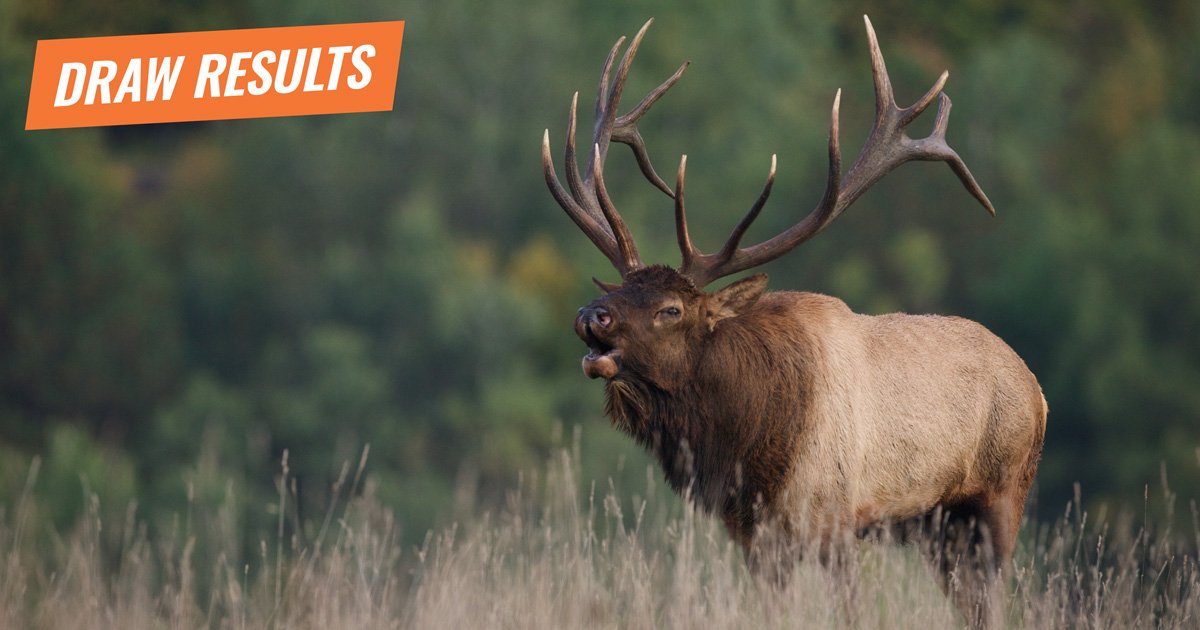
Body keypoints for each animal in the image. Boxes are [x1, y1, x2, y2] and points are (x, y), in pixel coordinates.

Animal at [541, 16, 1046, 626]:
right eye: (615, 290)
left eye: (671, 310)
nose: (591, 315)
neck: (750, 444)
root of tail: (1036, 388)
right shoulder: (754, 536)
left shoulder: (834, 519)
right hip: (936, 525)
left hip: (1001, 495)